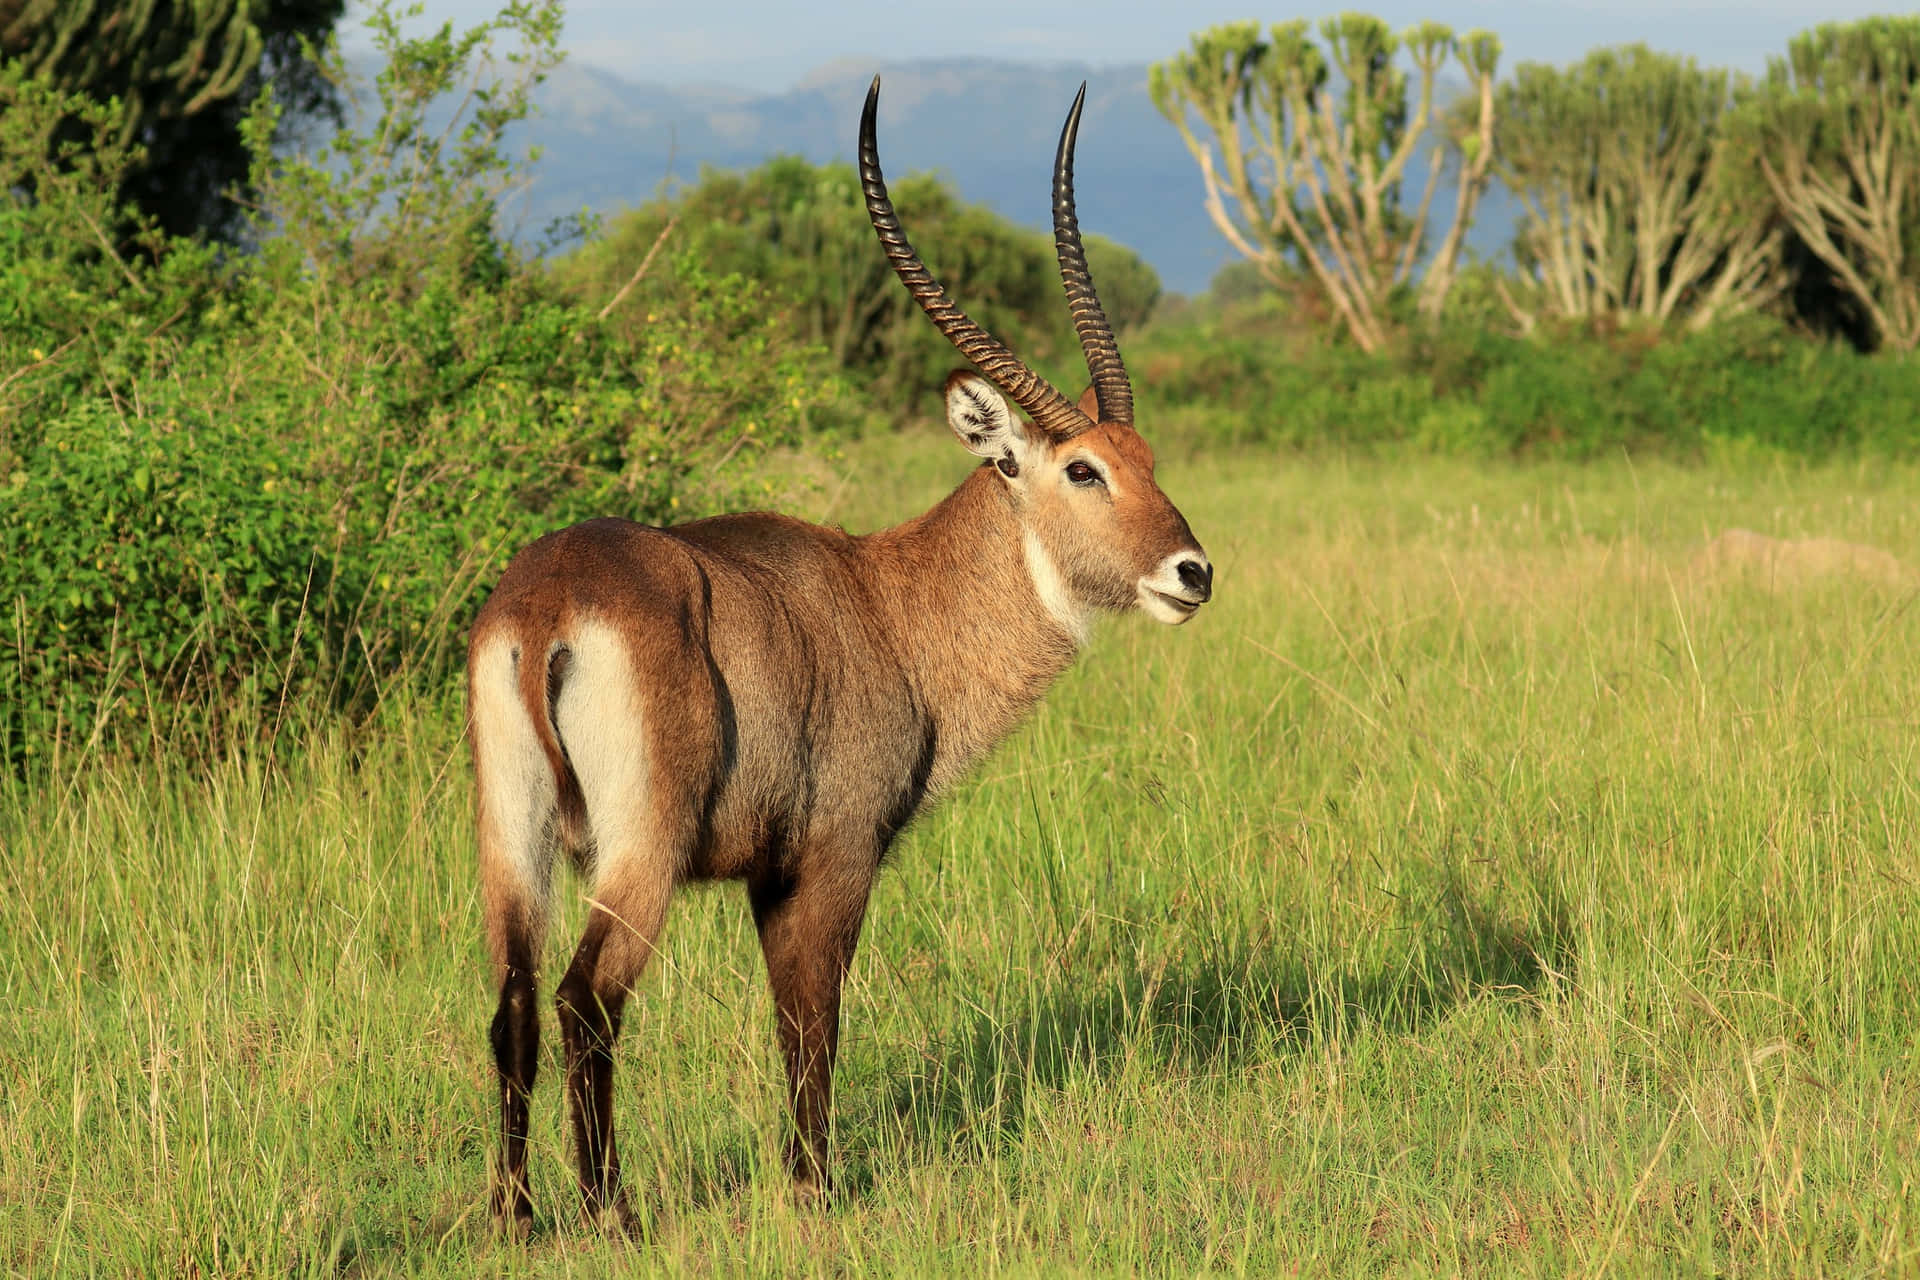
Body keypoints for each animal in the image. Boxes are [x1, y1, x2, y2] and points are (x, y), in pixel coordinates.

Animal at [468, 75, 1213, 1235]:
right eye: (1083, 468)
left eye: (1144, 457)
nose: (1192, 571)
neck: (887, 602)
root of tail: (548, 601)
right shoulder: (832, 859)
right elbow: (813, 1020)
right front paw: (815, 1186)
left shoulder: (770, 875)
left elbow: (793, 1021)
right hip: (640, 855)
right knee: (588, 997)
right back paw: (610, 1209)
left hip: (513, 841)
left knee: (513, 1001)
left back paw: (516, 1213)